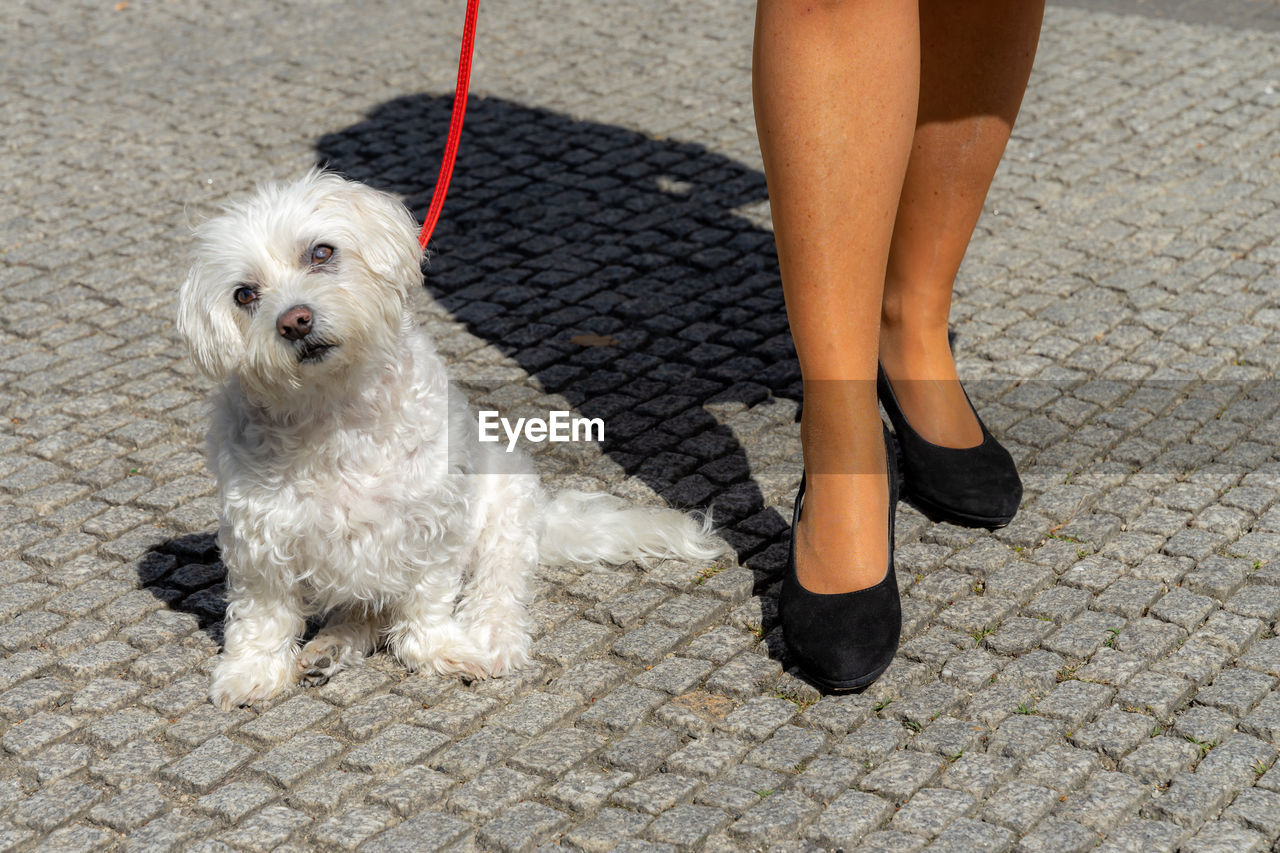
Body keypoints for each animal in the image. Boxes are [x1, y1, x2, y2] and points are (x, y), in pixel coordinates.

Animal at [175, 169, 727, 706]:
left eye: (321, 253)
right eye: (245, 294)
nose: (294, 321)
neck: (335, 411)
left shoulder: (433, 522)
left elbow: (428, 598)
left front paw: (439, 649)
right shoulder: (259, 539)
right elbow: (262, 616)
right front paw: (252, 672)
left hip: (506, 514)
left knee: (496, 589)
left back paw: (490, 638)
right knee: (366, 610)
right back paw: (330, 647)